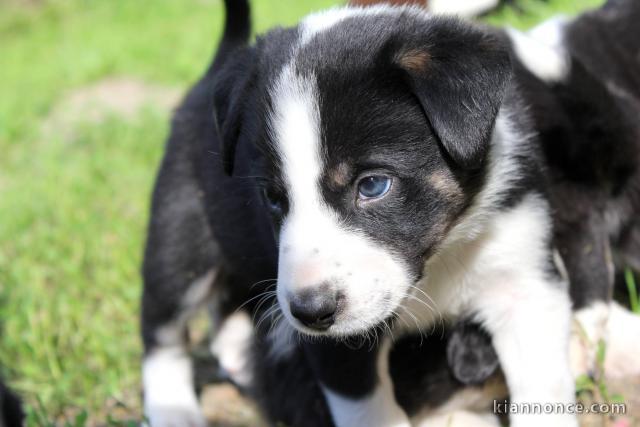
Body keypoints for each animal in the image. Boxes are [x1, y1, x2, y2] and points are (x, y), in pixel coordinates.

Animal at [141, 0, 640, 427]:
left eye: (373, 185)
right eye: (274, 198)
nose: (309, 311)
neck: (436, 262)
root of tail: (213, 71)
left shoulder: (525, 279)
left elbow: (543, 388)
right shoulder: (338, 341)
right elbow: (368, 409)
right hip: (181, 233)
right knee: (161, 333)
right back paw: (173, 410)